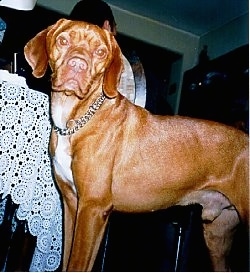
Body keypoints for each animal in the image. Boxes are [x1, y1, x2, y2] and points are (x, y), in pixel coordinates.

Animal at [24, 18, 249, 270]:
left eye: (101, 52)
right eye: (63, 40)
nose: (77, 65)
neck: (76, 119)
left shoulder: (92, 207)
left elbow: (77, 263)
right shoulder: (72, 204)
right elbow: (67, 259)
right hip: (217, 237)